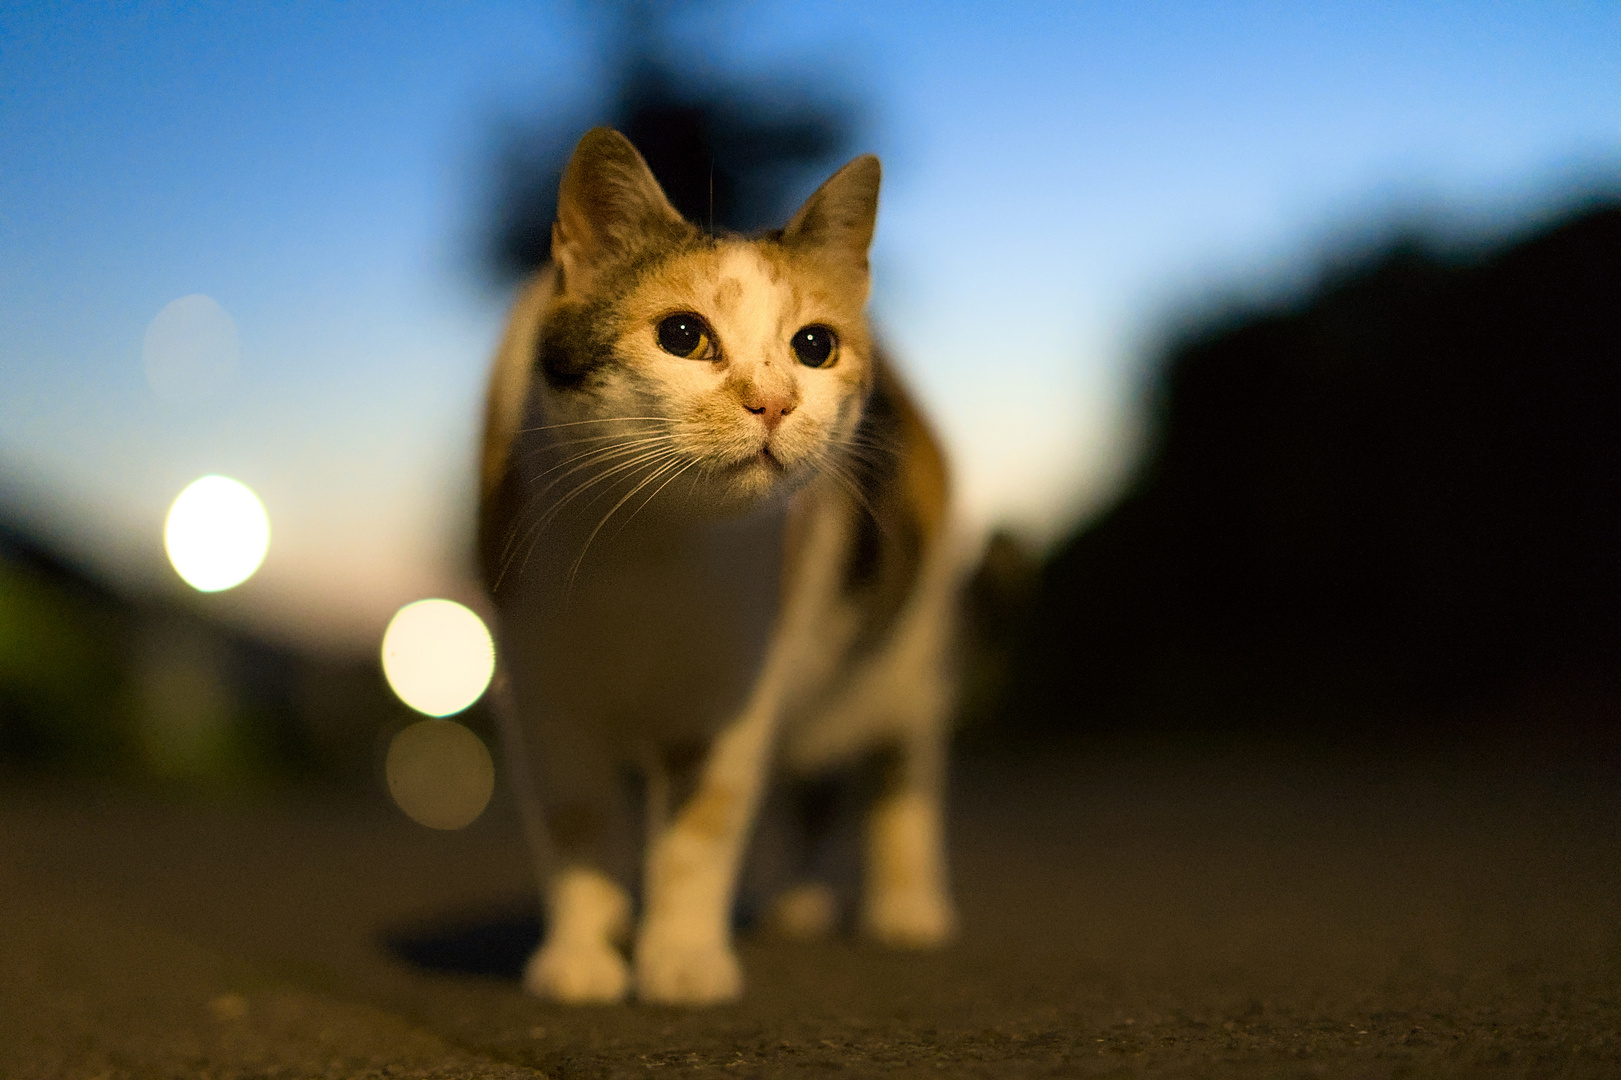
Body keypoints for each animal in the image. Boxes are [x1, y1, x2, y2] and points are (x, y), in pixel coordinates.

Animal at [479, 128, 959, 998]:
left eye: (814, 347)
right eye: (681, 335)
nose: (773, 402)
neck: (652, 543)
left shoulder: (737, 696)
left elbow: (703, 830)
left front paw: (681, 959)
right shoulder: (542, 698)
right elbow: (576, 824)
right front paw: (583, 953)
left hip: (910, 641)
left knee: (901, 762)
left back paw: (907, 906)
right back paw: (797, 903)